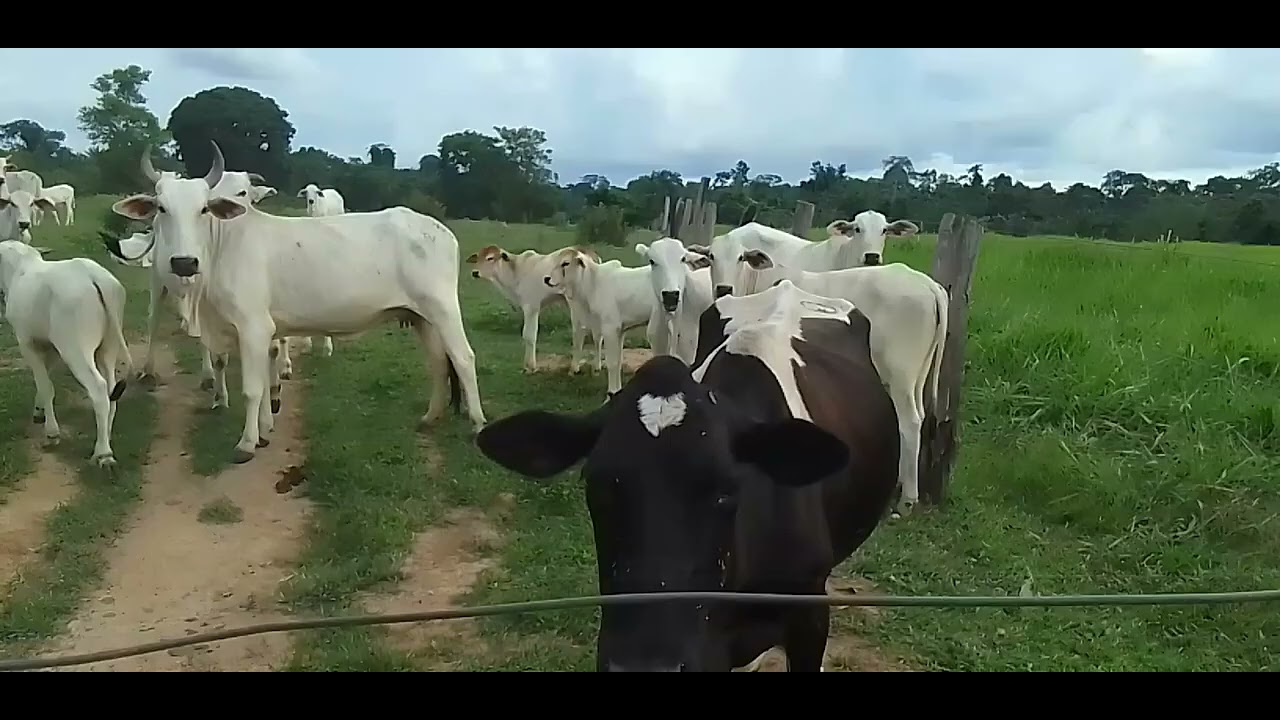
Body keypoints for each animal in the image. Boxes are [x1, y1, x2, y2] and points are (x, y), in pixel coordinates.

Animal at [0, 240, 133, 468]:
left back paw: (104, 453)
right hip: (108, 346)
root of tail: (94, 276)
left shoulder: (27, 343)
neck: (17, 268)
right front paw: (38, 411)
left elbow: (45, 386)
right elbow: (45, 380)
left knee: (99, 389)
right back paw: (103, 442)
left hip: (76, 348)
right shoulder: (51, 346)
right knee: (112, 391)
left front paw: (51, 433)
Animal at [112, 142, 486, 463]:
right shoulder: (255, 331)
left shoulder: (253, 327)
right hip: (421, 316)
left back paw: (478, 423)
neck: (222, 247)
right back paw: (430, 417)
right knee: (439, 362)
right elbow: (262, 381)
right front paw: (264, 430)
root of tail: (438, 228)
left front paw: (247, 442)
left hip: (443, 309)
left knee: (463, 359)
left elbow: (252, 388)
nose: (183, 263)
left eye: (204, 208)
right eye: (162, 208)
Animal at [465, 243, 604, 374]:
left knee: (579, 332)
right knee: (597, 334)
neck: (516, 270)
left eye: (490, 258)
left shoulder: (531, 307)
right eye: (478, 258)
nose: (475, 272)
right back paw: (596, 366)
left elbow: (529, 335)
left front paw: (530, 366)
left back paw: (574, 367)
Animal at [543, 250, 663, 396]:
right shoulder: (620, 331)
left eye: (566, 263)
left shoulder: (609, 328)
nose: (547, 279)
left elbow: (612, 362)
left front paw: (612, 391)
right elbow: (618, 361)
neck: (593, 283)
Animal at [708, 248, 948, 517]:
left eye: (741, 257)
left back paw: (907, 499)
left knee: (910, 423)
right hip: (917, 375)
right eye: (711, 256)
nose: (723, 289)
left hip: (900, 374)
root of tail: (928, 284)